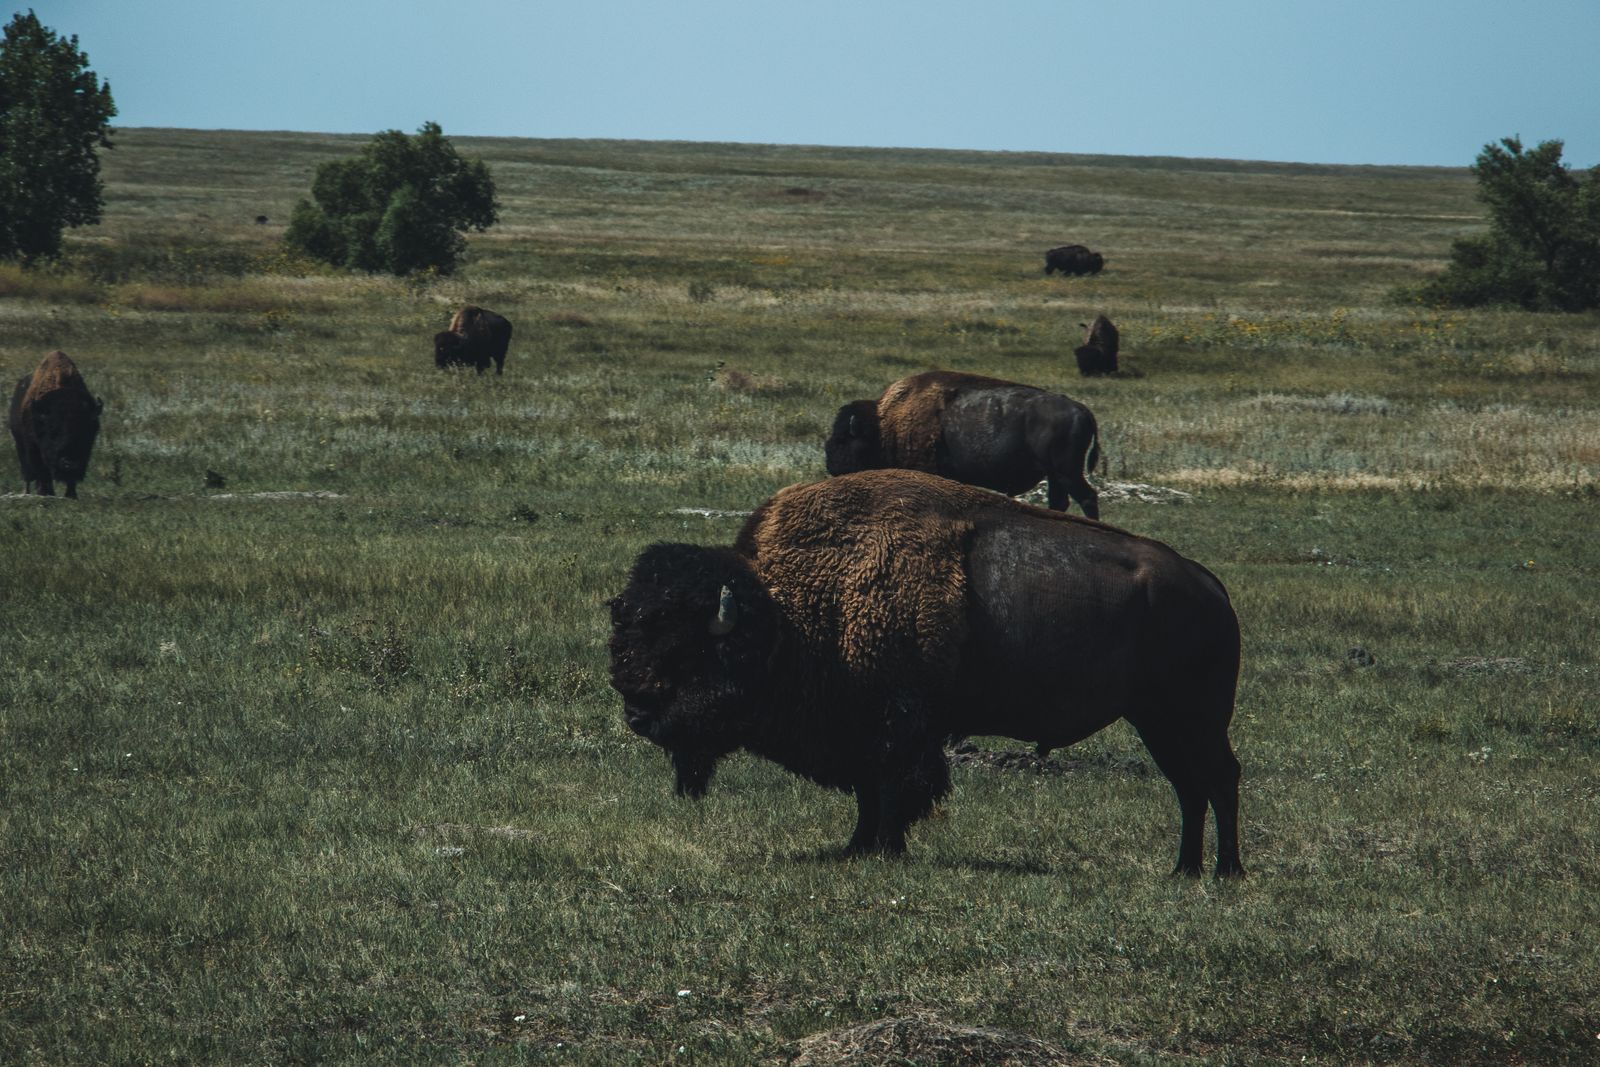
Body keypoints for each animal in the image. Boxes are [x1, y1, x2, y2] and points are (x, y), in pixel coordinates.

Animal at [8, 350, 102, 498]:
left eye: (86, 431)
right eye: (52, 431)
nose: (70, 463)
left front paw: (71, 495)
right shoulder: (34, 448)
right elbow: (42, 472)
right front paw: (46, 493)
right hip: (20, 446)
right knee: (29, 475)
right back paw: (28, 492)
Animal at [608, 469, 1244, 876]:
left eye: (683, 650)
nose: (636, 711)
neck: (785, 614)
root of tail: (1210, 589)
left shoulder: (900, 725)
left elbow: (894, 789)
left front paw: (887, 850)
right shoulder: (863, 733)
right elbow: (868, 794)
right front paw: (856, 848)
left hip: (1194, 719)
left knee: (1219, 779)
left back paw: (1225, 872)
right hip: (1157, 721)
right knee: (1190, 787)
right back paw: (1183, 871)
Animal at [826, 370, 1102, 518]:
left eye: (843, 439)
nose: (830, 464)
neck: (883, 425)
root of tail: (1081, 410)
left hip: (1066, 472)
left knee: (1087, 497)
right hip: (1055, 475)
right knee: (1060, 502)